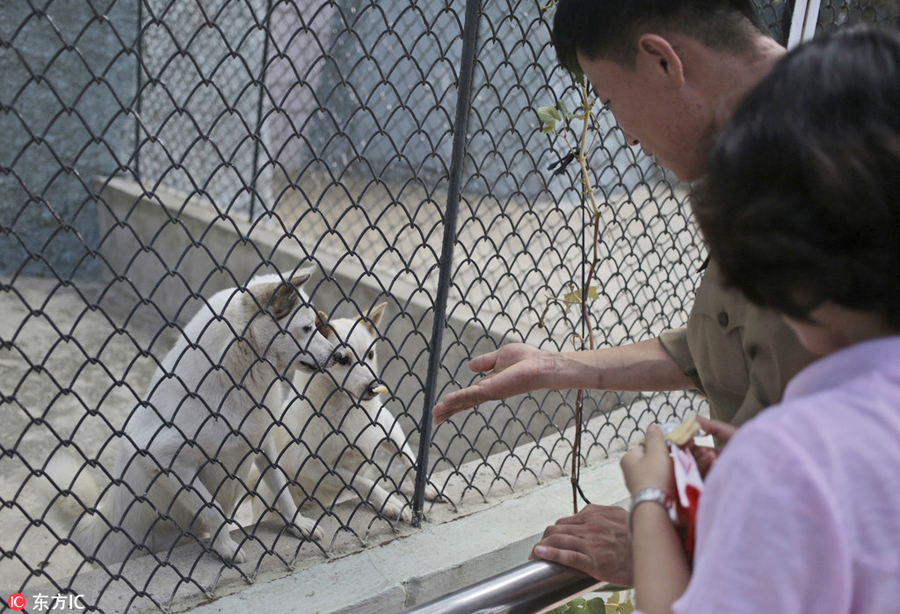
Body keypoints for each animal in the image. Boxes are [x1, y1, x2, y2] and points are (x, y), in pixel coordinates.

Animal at [41, 270, 334, 568]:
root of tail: (101, 525)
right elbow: (213, 509)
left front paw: (298, 523)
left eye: (315, 325)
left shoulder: (262, 444)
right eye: (307, 328)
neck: (233, 379)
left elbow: (282, 488)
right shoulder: (166, 460)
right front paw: (226, 548)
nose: (337, 354)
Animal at [266, 306, 438, 524]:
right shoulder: (314, 467)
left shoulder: (391, 428)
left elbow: (410, 459)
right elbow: (362, 481)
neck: (347, 409)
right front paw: (389, 502)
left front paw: (426, 485)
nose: (374, 387)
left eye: (370, 354)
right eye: (342, 359)